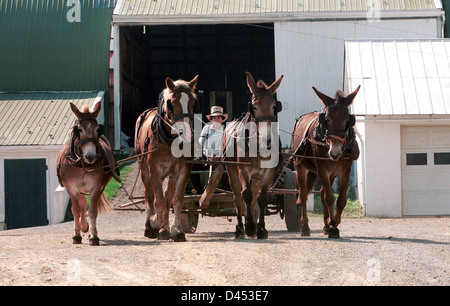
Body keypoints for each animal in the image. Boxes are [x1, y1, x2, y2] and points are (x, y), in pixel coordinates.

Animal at [56, 101, 117, 245]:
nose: (91, 156)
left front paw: (94, 236)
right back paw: (83, 227)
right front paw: (76, 235)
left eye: (97, 129)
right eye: (80, 130)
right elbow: (76, 210)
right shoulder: (71, 187)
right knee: (82, 202)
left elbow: (93, 210)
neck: (82, 164)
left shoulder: (96, 186)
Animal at [134, 76, 200, 241]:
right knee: (149, 195)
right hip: (144, 168)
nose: (187, 134)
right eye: (171, 103)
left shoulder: (183, 169)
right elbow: (158, 201)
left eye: (193, 102)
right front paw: (155, 224)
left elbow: (176, 199)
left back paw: (165, 228)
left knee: (168, 197)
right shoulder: (155, 171)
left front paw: (177, 230)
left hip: (171, 173)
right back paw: (152, 226)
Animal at [290, 85, 360, 238]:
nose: (335, 152)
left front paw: (332, 223)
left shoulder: (344, 171)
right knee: (303, 194)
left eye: (348, 120)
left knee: (321, 193)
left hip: (331, 173)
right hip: (300, 166)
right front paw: (332, 226)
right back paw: (305, 227)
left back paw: (326, 224)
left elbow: (341, 200)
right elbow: (329, 198)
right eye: (327, 120)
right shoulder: (322, 169)